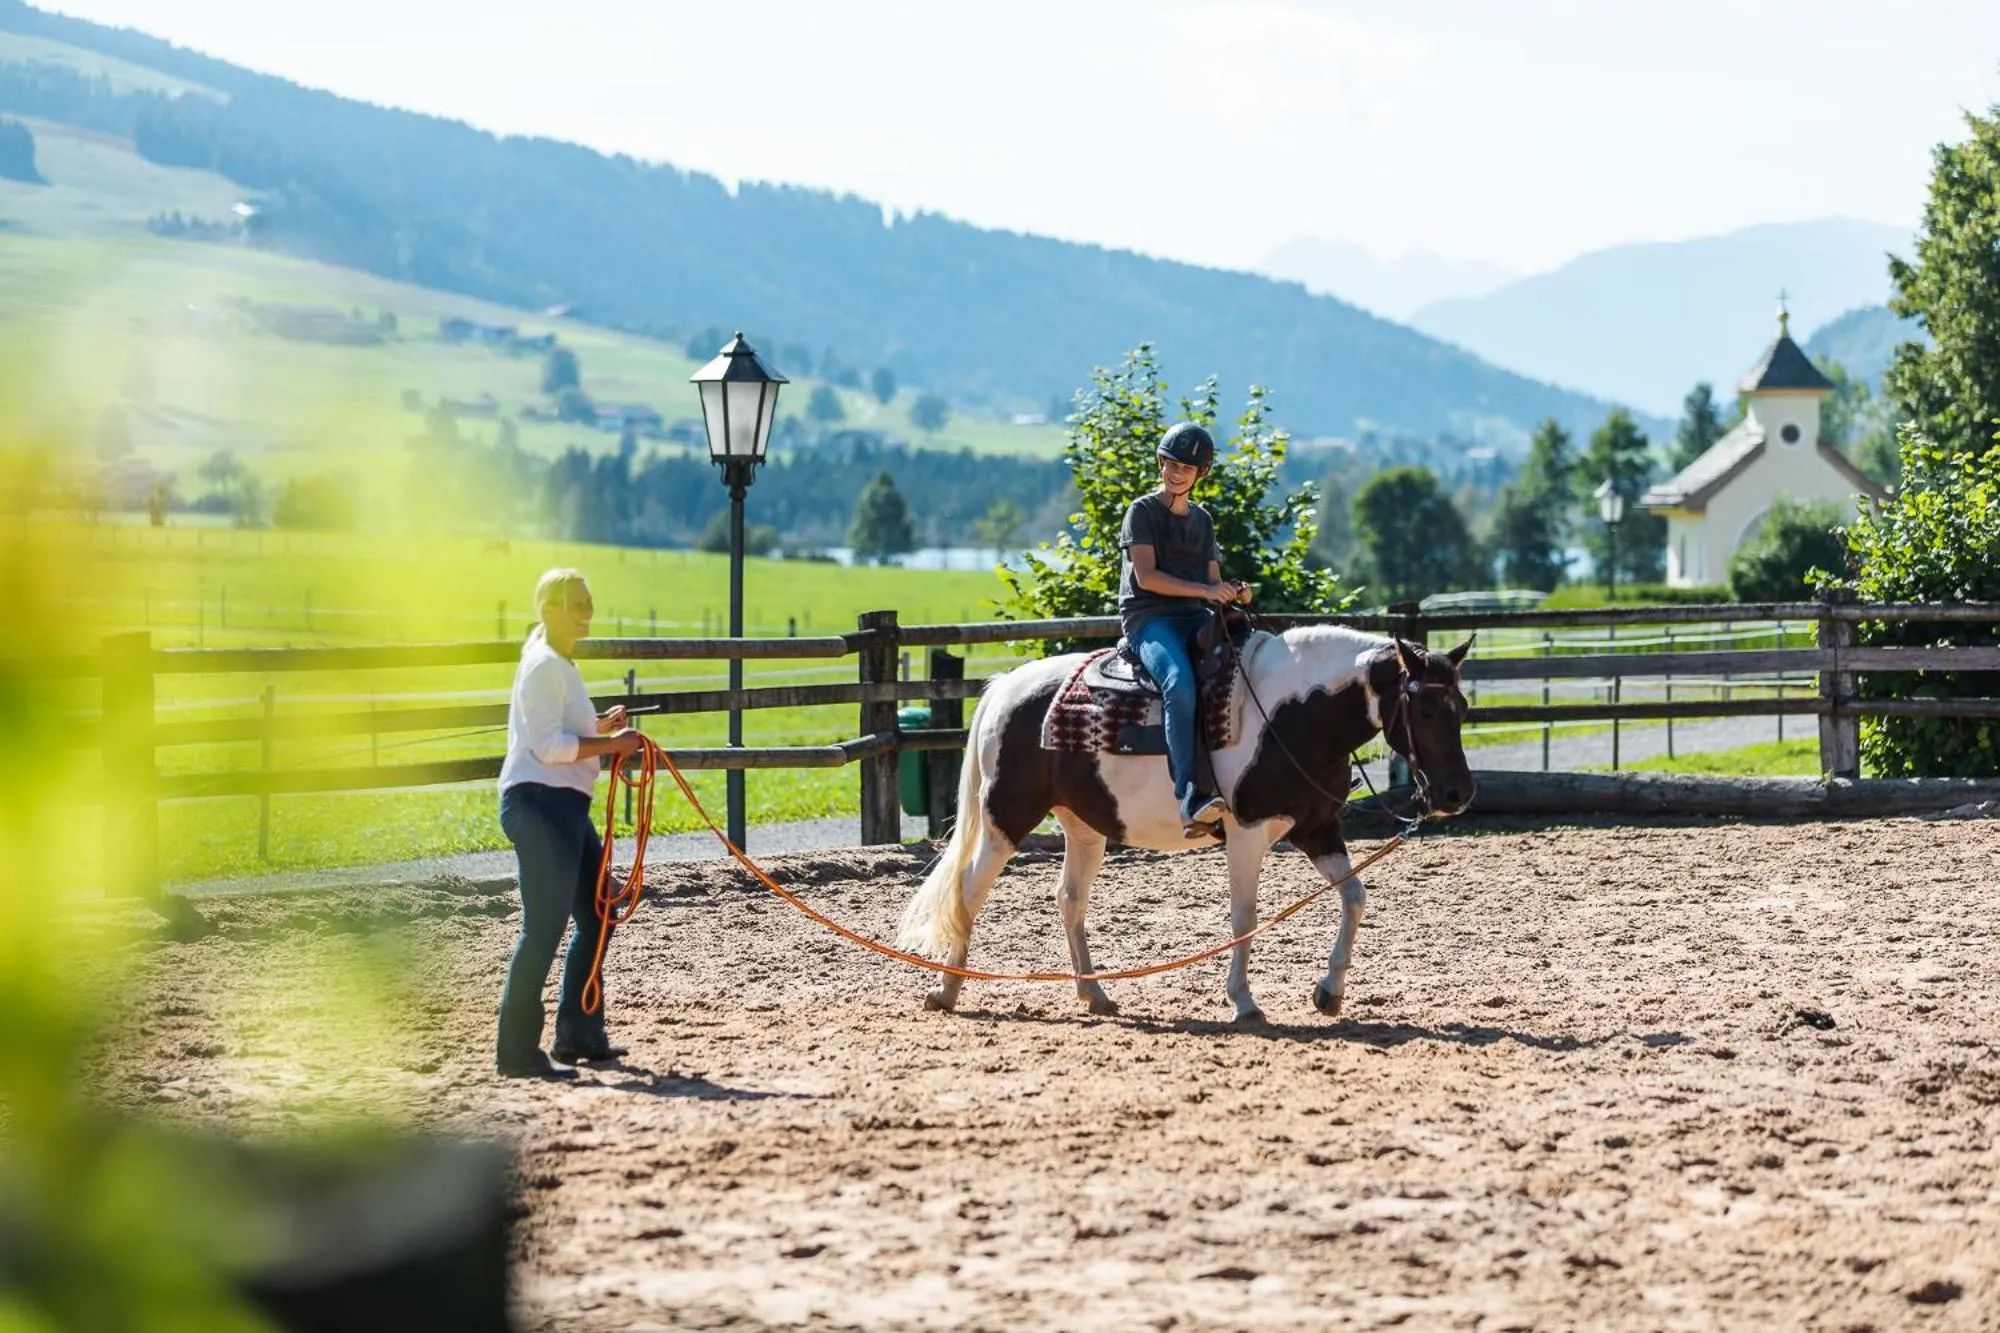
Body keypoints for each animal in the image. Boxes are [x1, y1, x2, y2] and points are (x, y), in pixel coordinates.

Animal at [895, 624, 1475, 1023]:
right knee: (970, 890)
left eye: (1463, 706)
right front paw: (1244, 1002)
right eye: (1425, 709)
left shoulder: (1317, 829)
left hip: (1083, 827)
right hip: (1007, 818)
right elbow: (1244, 915)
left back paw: (1094, 993)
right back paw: (946, 991)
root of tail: (1005, 689)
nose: (1458, 794)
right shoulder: (1247, 833)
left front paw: (1329, 992)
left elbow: (1354, 897)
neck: (1295, 715)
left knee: (1069, 900)